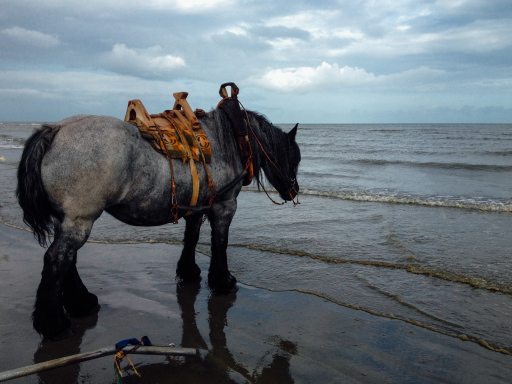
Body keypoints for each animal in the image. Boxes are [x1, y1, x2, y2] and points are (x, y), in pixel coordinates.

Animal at [17, 108, 300, 340]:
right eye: (294, 158)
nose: (294, 191)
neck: (230, 139)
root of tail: (56, 129)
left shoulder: (197, 207)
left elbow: (191, 238)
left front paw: (189, 272)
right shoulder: (225, 205)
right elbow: (220, 242)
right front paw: (223, 281)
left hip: (67, 219)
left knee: (68, 259)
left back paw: (81, 303)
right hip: (81, 218)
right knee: (57, 259)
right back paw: (54, 323)